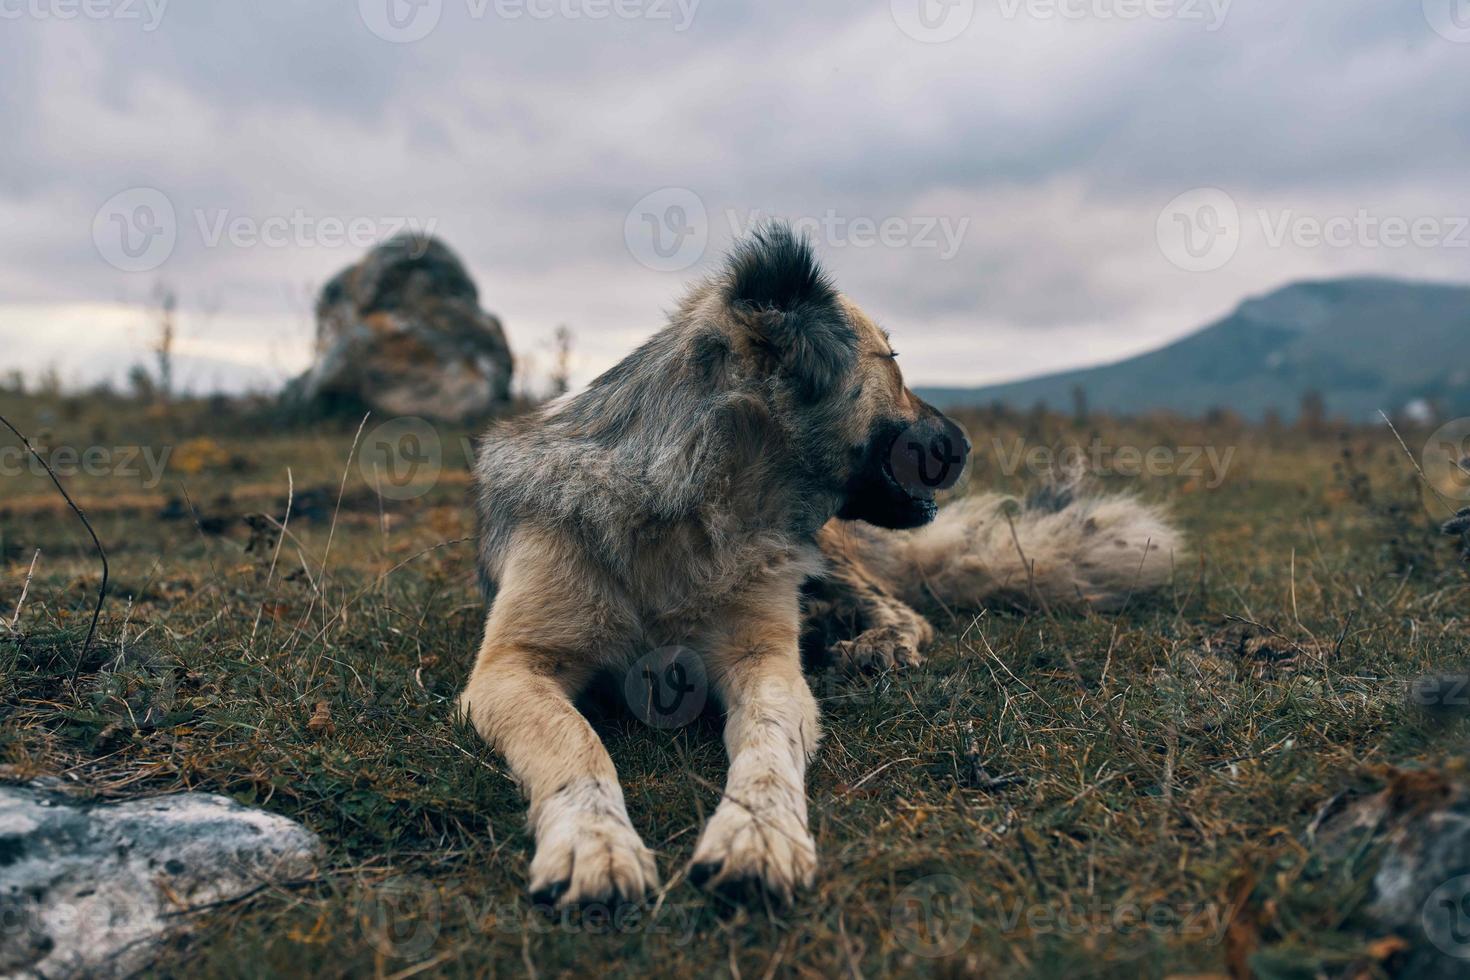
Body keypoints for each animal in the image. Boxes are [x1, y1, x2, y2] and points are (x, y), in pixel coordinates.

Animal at [452, 226, 1176, 910]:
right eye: (894, 362)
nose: (968, 441)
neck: (694, 505)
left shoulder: (762, 658)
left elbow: (768, 746)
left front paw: (757, 831)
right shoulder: (512, 668)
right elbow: (576, 744)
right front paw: (594, 841)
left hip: (823, 555)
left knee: (903, 610)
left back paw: (873, 644)